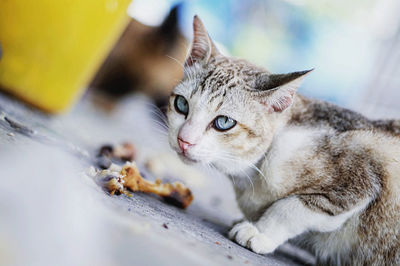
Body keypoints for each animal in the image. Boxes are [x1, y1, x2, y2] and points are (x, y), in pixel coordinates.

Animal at [167, 15, 400, 264]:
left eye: (224, 122)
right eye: (181, 104)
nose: (184, 140)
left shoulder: (361, 175)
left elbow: (289, 207)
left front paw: (260, 232)